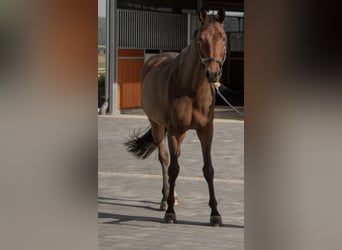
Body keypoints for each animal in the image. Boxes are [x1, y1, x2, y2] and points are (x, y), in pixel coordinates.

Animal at [125, 7, 227, 227]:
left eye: (223, 38)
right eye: (200, 39)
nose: (213, 74)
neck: (191, 88)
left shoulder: (206, 131)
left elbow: (209, 170)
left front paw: (215, 213)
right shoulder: (173, 130)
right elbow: (173, 169)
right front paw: (170, 213)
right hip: (157, 125)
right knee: (165, 159)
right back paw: (166, 200)